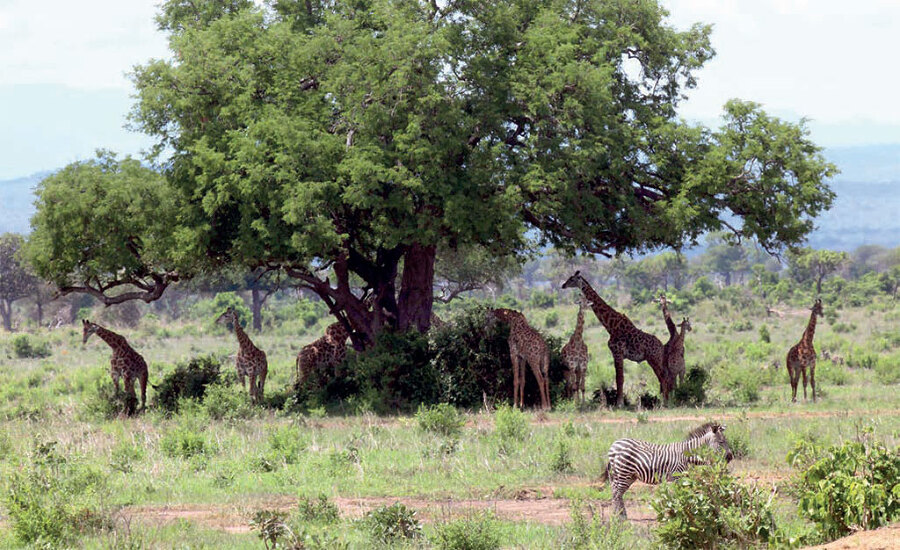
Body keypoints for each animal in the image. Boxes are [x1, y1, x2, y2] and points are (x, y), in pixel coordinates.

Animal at [560, 272, 672, 406]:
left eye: (572, 279)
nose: (563, 285)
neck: (611, 325)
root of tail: (661, 347)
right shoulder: (617, 354)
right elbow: (619, 378)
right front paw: (620, 402)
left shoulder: (617, 352)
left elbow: (619, 378)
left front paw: (619, 403)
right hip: (656, 359)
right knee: (664, 377)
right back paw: (665, 401)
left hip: (653, 359)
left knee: (663, 377)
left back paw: (664, 403)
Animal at [596, 424, 732, 520]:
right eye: (721, 442)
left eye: (726, 441)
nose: (730, 457)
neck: (687, 455)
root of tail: (614, 444)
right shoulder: (678, 476)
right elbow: (680, 494)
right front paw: (681, 512)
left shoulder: (685, 476)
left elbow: (688, 492)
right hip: (623, 471)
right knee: (617, 493)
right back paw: (620, 517)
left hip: (629, 475)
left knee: (616, 492)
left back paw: (619, 515)